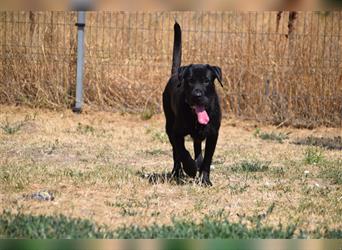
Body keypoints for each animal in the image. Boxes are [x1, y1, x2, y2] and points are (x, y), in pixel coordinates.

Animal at [162, 21, 223, 186]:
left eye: (206, 81)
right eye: (189, 81)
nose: (197, 95)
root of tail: (174, 74)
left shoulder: (213, 134)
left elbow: (207, 159)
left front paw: (205, 179)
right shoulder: (176, 132)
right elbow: (182, 152)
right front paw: (190, 168)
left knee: (197, 147)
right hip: (169, 124)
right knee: (176, 153)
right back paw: (177, 172)